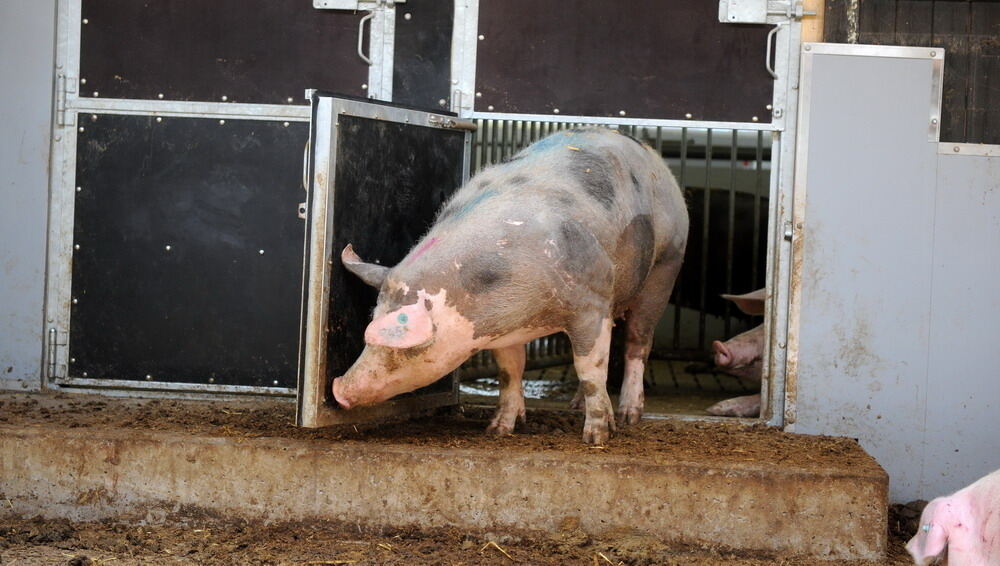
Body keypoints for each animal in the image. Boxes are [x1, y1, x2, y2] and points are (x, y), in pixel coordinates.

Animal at [334, 126, 688, 446]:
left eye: (409, 345)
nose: (339, 389)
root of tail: (652, 155)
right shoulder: (500, 326)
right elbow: (509, 371)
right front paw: (499, 430)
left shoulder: (591, 302)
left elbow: (590, 368)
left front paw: (596, 437)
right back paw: (575, 405)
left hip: (665, 266)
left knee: (637, 343)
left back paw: (629, 414)